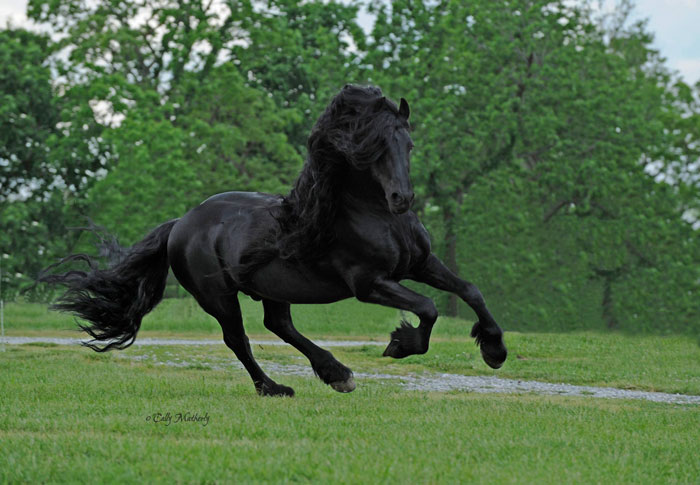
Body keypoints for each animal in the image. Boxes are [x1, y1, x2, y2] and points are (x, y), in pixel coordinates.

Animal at [41, 85, 507, 396]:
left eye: (407, 143)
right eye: (372, 146)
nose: (401, 199)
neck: (374, 216)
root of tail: (181, 223)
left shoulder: (420, 264)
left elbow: (471, 290)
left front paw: (495, 350)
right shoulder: (370, 284)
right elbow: (427, 308)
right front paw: (399, 344)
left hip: (271, 287)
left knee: (278, 325)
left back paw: (335, 374)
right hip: (218, 296)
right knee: (240, 339)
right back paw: (277, 386)